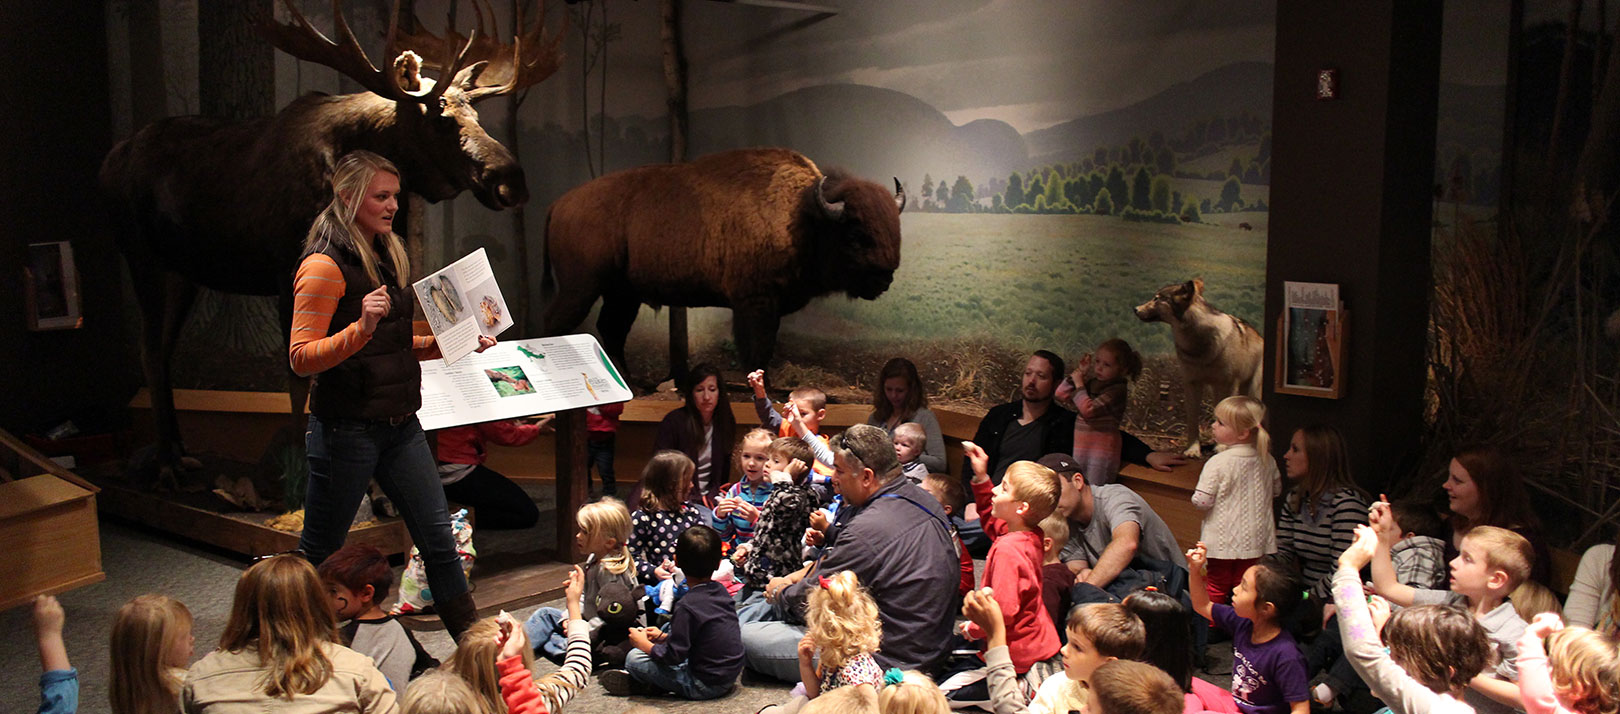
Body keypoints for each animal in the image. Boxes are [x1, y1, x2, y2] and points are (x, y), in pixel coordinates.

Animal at [101, 1, 567, 485]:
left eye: (476, 116)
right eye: (440, 118)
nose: (512, 181)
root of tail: (109, 159)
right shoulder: (288, 273)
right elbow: (297, 379)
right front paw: (298, 475)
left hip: (183, 272)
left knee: (163, 349)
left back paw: (178, 451)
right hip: (141, 255)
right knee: (149, 348)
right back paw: (167, 462)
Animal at [541, 148, 900, 372]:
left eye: (893, 227)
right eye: (855, 235)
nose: (885, 278)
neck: (800, 216)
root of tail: (559, 203)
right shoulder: (754, 303)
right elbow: (756, 350)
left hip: (623, 294)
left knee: (611, 330)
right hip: (580, 288)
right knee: (557, 325)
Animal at [1134, 278, 1257, 456]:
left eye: (1157, 298)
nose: (1135, 309)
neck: (1199, 344)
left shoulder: (1229, 384)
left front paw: (1222, 447)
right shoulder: (1191, 383)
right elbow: (1192, 420)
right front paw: (1193, 450)